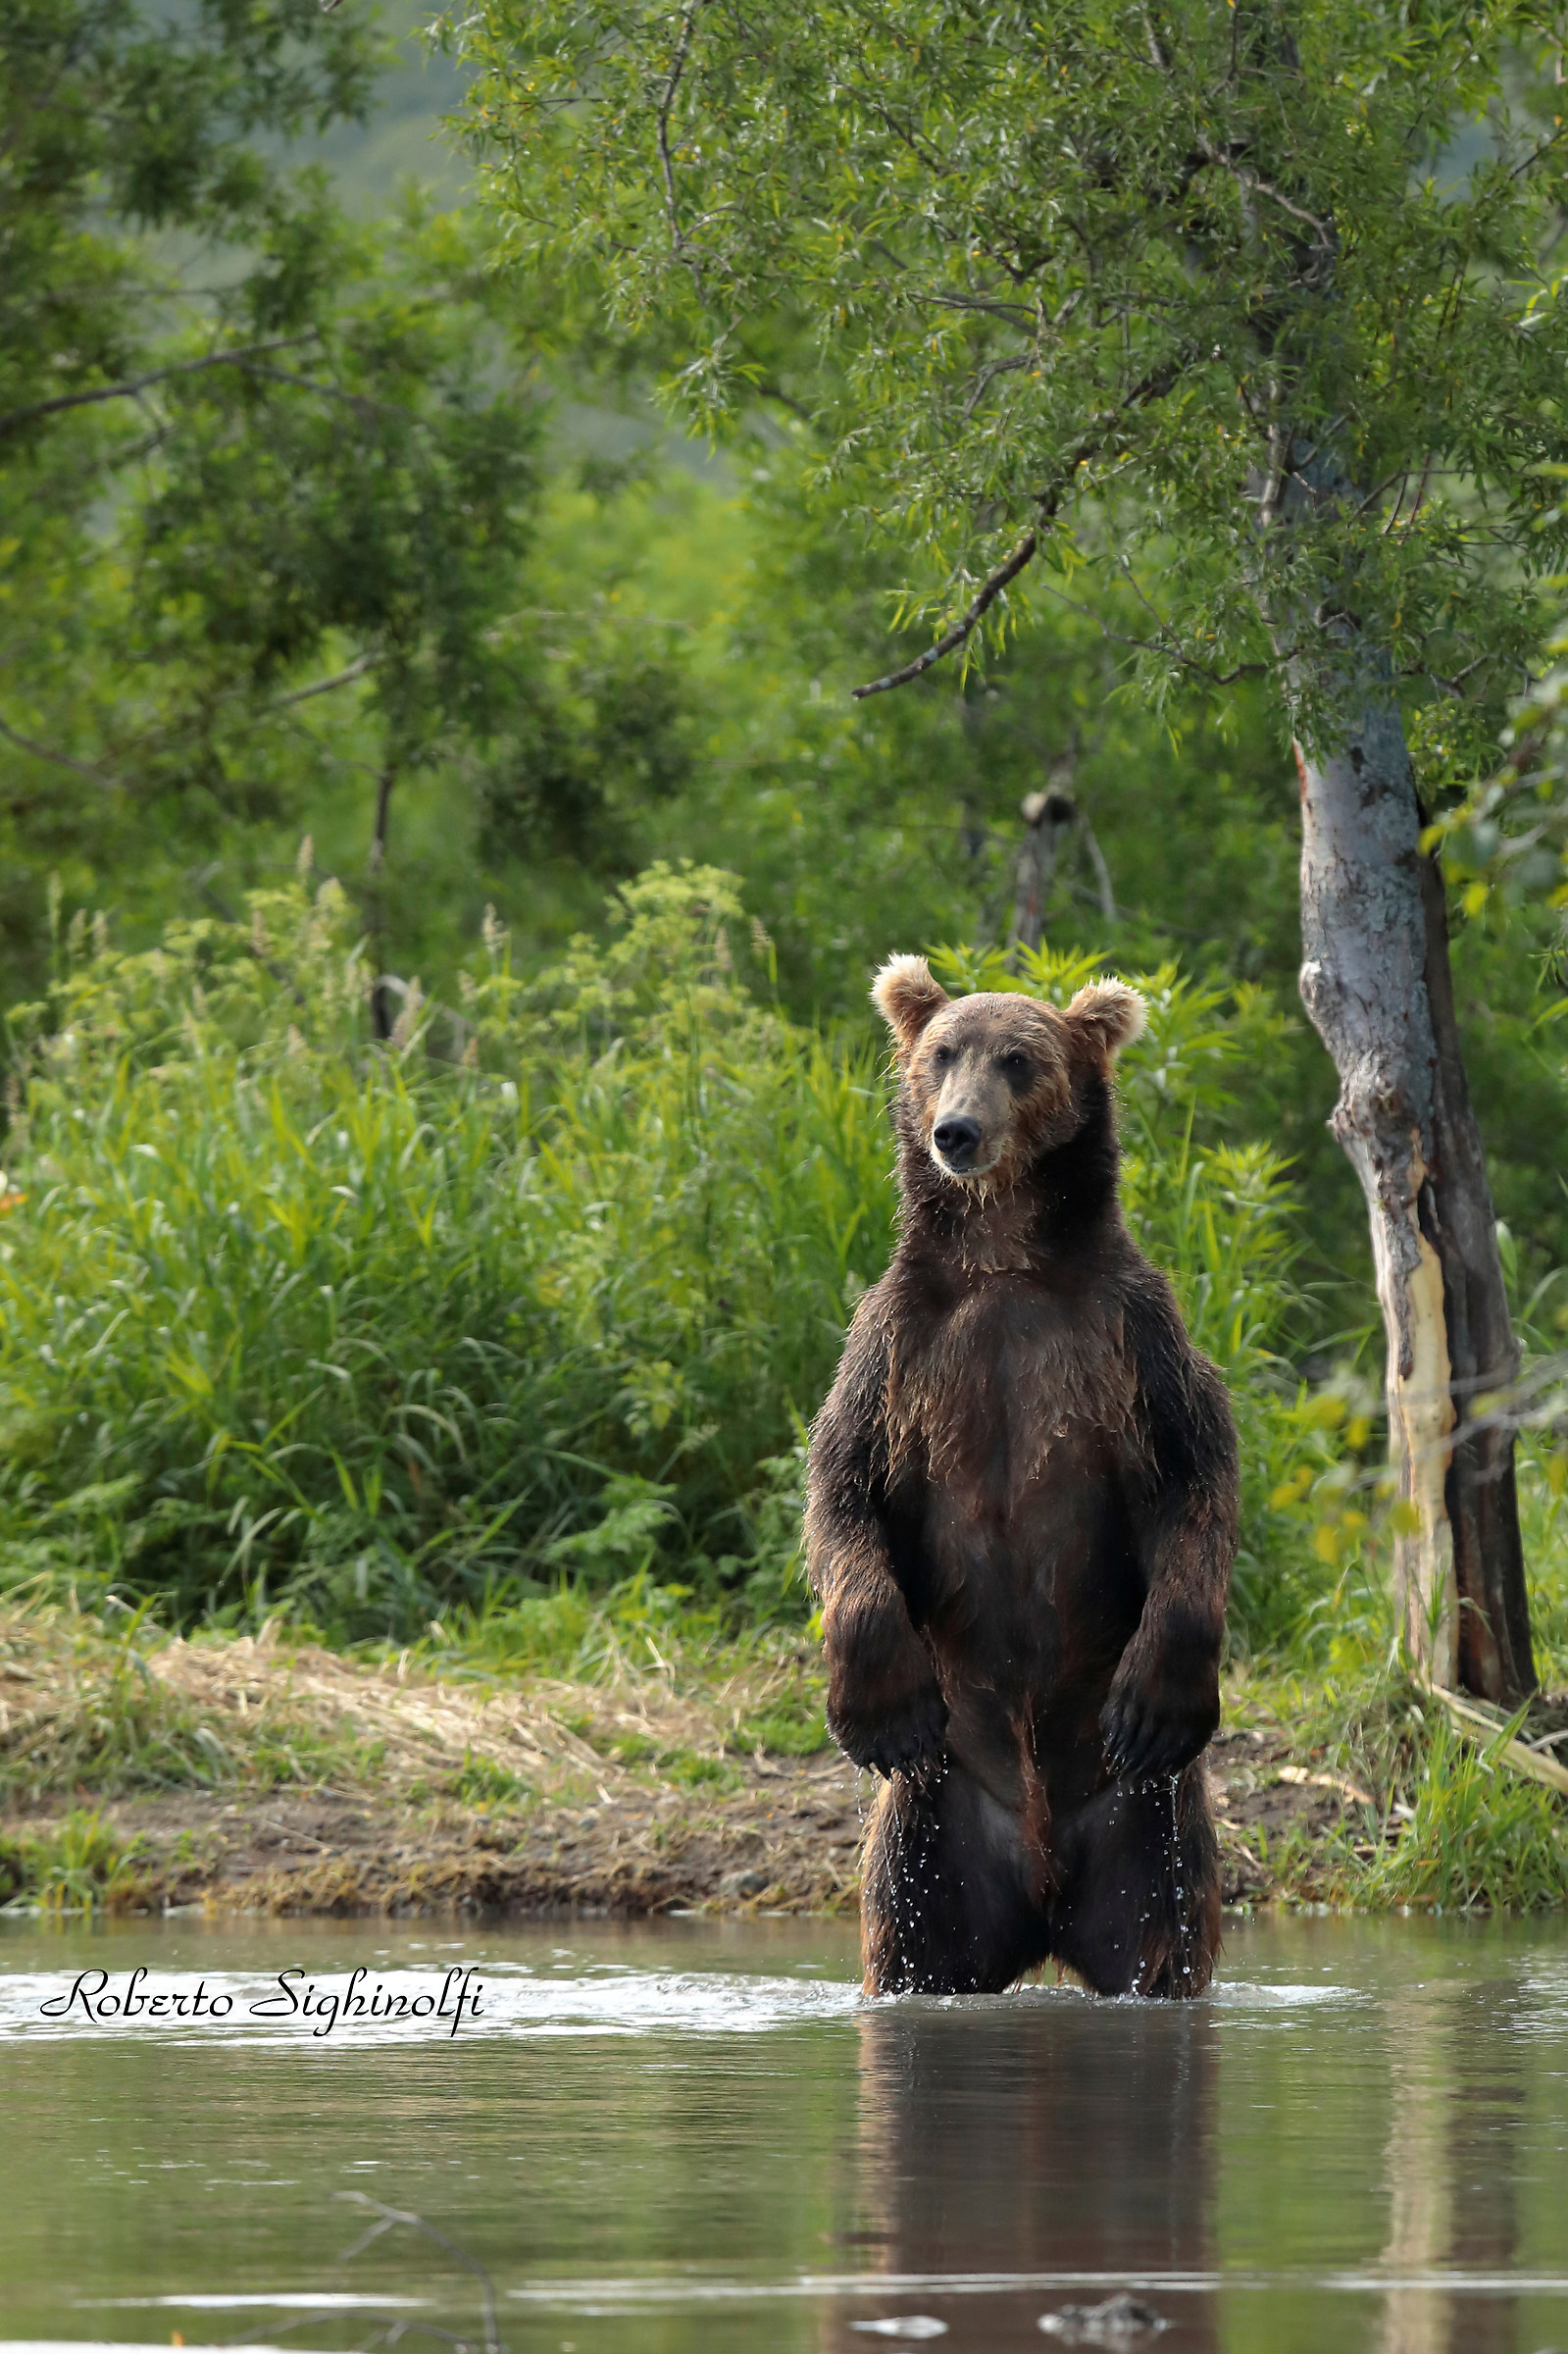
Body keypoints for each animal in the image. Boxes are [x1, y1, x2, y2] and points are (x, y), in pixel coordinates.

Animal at [804, 955, 1237, 2000]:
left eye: (1019, 1059)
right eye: (941, 1052)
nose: (955, 1132)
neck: (1002, 1257)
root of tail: (1041, 1894)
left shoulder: (1130, 1342)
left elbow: (1196, 1485)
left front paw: (1156, 1702)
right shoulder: (895, 1353)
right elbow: (841, 1496)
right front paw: (878, 1709)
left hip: (1144, 1836)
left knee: (1162, 1940)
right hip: (933, 1834)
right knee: (911, 1941)